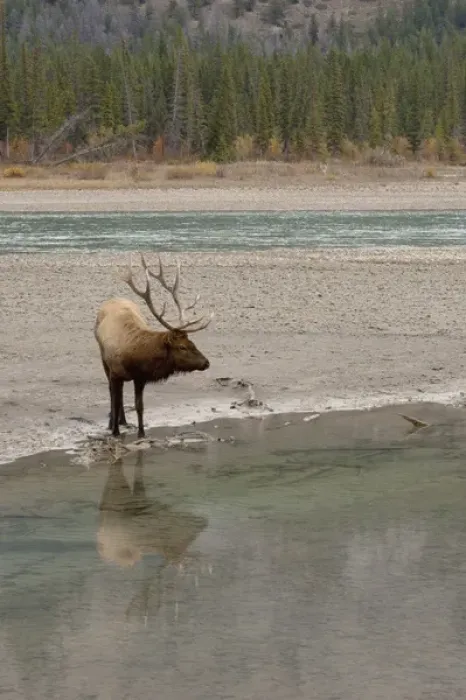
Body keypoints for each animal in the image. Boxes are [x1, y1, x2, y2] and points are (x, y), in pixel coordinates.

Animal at [94, 252, 213, 439]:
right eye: (182, 347)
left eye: (192, 342)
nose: (206, 362)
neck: (133, 359)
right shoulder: (114, 372)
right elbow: (115, 399)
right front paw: (115, 432)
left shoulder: (140, 377)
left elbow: (139, 405)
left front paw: (141, 433)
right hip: (103, 358)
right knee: (113, 395)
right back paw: (113, 423)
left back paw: (123, 421)